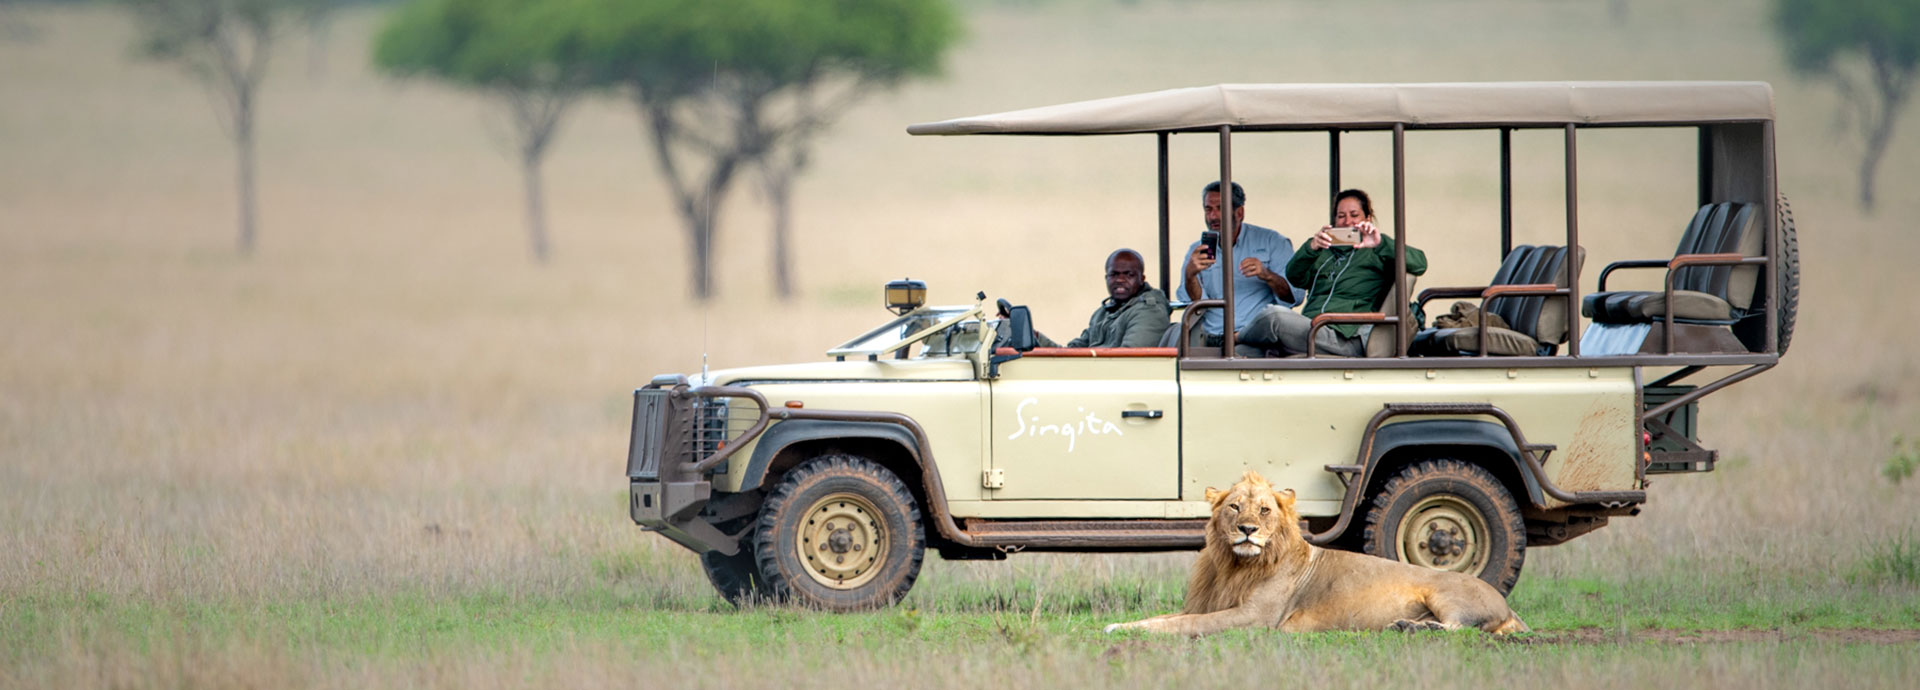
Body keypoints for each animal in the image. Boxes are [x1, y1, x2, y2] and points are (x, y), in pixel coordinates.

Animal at [1105, 470, 1528, 636]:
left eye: (1264, 510)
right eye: (1235, 507)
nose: (1247, 530)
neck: (1235, 566)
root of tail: (1509, 608)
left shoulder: (1256, 618)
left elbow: (1186, 624)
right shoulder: (1210, 603)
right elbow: (1166, 618)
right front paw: (1121, 626)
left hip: (1446, 593)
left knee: (1460, 627)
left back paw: (1411, 627)